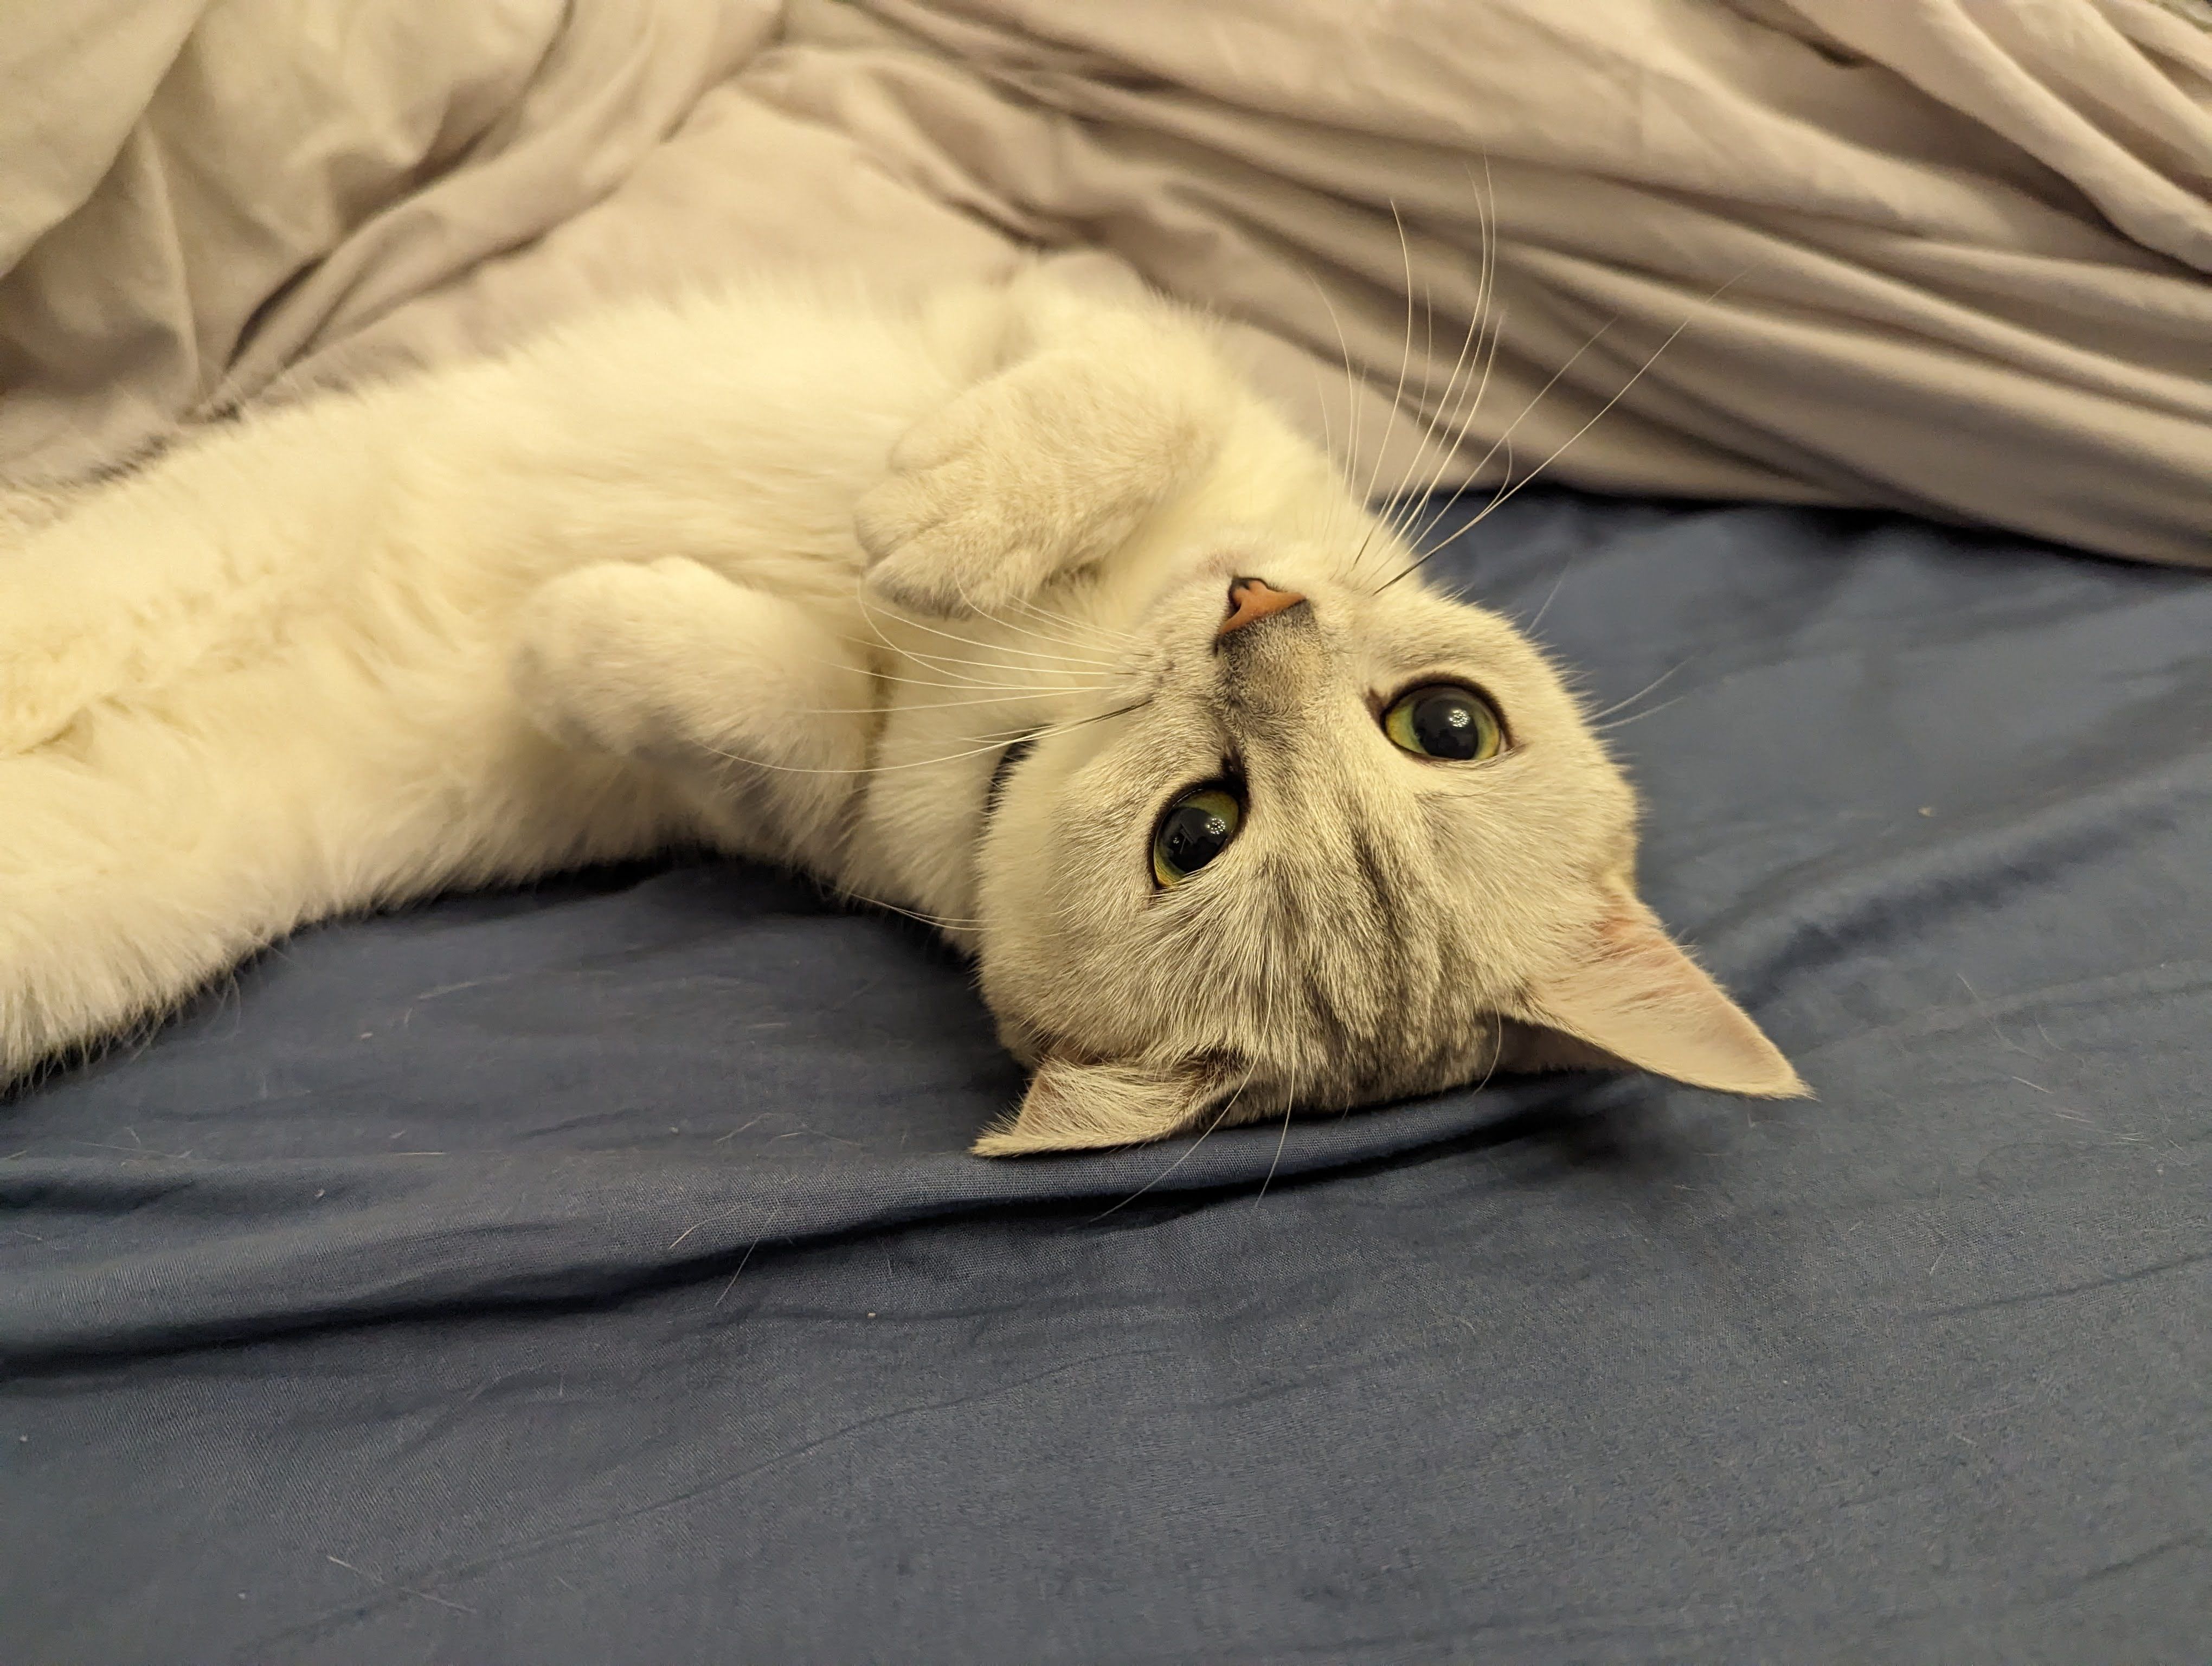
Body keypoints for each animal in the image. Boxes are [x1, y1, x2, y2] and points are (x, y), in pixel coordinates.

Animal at [0, 266, 1796, 1150]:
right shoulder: (1081, 312)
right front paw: (963, 510)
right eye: (1449, 724)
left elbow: (767, 704)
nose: (1254, 625)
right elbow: (1126, 389)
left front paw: (581, 628)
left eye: (1197, 831)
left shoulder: (803, 809)